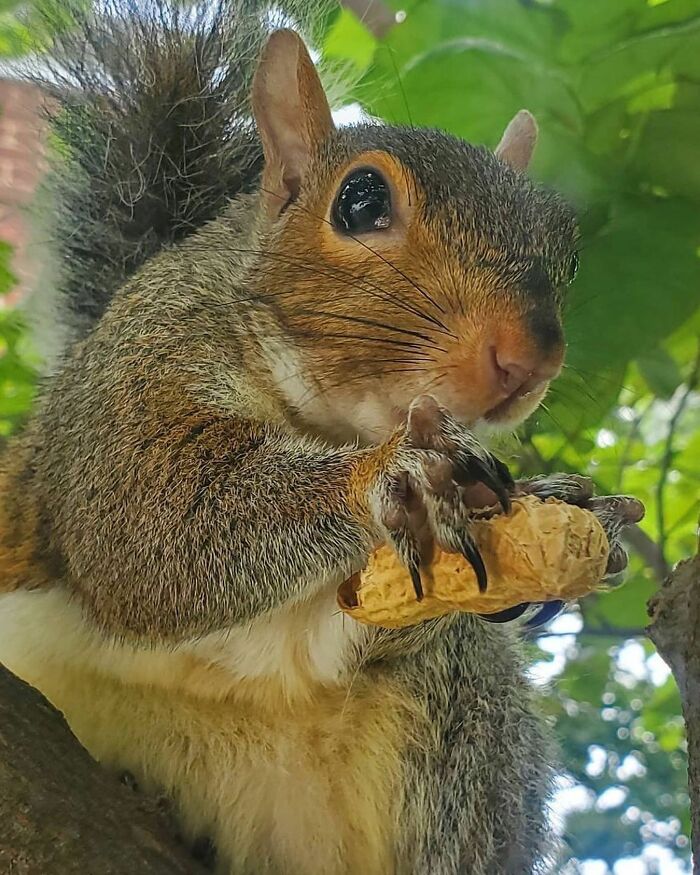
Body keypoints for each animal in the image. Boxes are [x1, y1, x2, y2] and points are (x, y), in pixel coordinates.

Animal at [0, 1, 642, 873]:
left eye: (566, 246)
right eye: (360, 201)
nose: (529, 356)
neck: (331, 421)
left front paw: (573, 507)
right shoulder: (129, 376)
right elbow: (143, 525)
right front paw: (402, 478)